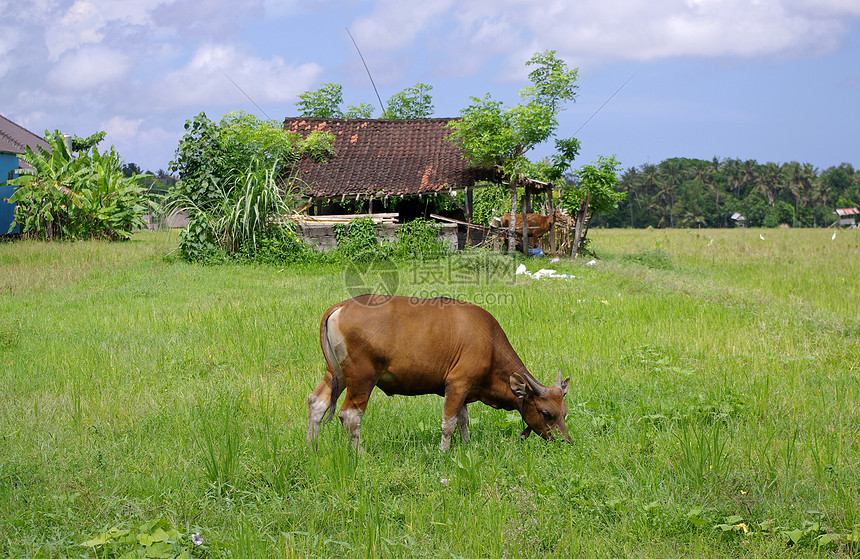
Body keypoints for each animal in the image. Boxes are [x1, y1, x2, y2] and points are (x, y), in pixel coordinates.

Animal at [310, 296, 572, 452]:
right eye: (546, 413)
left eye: (564, 413)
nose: (565, 441)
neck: (488, 343)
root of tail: (342, 306)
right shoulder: (457, 384)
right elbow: (449, 422)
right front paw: (444, 451)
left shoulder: (465, 390)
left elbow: (463, 420)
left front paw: (466, 446)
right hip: (362, 378)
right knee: (350, 415)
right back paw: (361, 454)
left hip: (336, 374)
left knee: (317, 402)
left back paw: (311, 447)